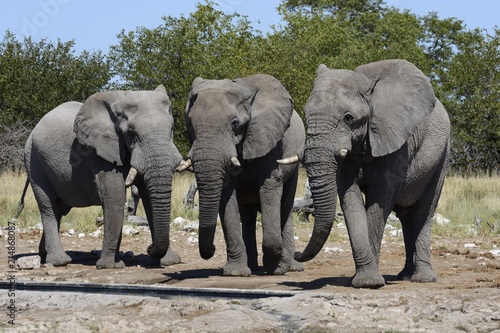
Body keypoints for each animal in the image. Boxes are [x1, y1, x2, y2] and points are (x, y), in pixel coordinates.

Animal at [23, 85, 184, 268]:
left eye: (172, 128)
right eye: (131, 133)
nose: (149, 248)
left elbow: (148, 198)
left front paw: (170, 262)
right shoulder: (98, 152)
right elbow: (115, 196)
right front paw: (109, 266)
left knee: (59, 210)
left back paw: (44, 255)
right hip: (34, 161)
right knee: (48, 206)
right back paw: (59, 261)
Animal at [180, 74, 304, 274]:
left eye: (235, 123)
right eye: (190, 123)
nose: (212, 249)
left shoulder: (269, 139)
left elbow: (269, 188)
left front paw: (275, 268)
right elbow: (227, 196)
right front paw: (236, 272)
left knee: (285, 206)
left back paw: (290, 267)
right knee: (247, 215)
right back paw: (252, 267)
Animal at [288, 59, 452, 288]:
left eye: (348, 118)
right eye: (305, 113)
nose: (296, 254)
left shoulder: (396, 141)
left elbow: (379, 199)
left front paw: (369, 283)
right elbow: (350, 200)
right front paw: (364, 281)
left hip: (442, 154)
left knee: (423, 212)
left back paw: (422, 279)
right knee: (406, 217)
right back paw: (404, 276)